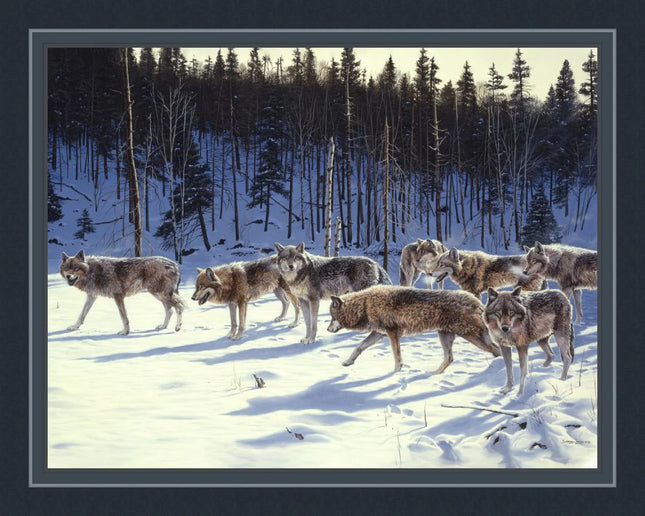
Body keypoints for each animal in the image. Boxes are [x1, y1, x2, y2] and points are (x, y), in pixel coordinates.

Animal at [327, 285, 501, 373]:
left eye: (331, 317)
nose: (328, 329)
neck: (364, 305)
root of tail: (478, 302)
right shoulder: (379, 333)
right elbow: (359, 347)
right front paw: (348, 362)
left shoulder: (392, 333)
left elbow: (397, 356)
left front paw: (395, 373)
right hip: (445, 336)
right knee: (450, 358)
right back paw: (433, 374)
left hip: (469, 336)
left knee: (496, 350)